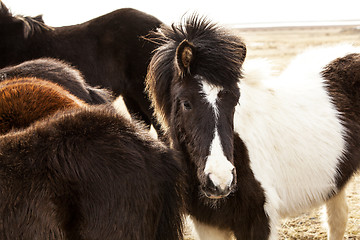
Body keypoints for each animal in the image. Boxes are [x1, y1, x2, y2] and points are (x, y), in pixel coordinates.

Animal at [146, 13, 360, 240]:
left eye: (235, 100)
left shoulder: (258, 221)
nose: (220, 180)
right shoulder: (207, 224)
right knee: (337, 219)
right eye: (186, 103)